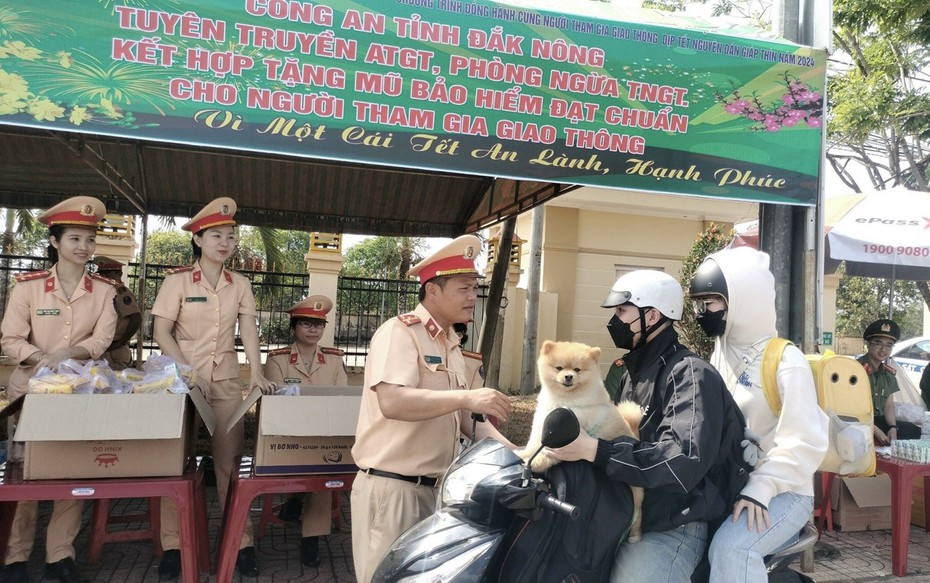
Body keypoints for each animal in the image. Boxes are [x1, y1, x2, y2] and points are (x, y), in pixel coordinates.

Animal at [520, 340, 644, 544]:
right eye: (559, 368)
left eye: (577, 369)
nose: (568, 376)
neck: (566, 401)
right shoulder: (542, 424)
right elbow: (533, 444)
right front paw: (521, 453)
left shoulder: (564, 437)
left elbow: (544, 454)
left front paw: (534, 463)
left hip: (635, 495)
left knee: (638, 514)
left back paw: (635, 535)